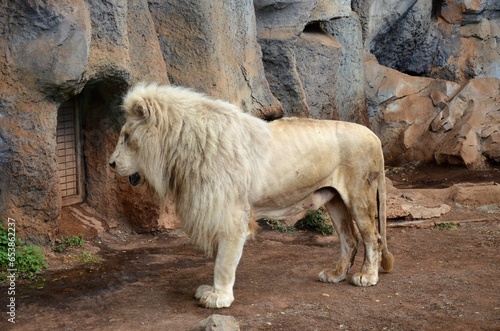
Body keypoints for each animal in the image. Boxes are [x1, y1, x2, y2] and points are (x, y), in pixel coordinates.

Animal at [109, 83, 394, 308]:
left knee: (372, 237)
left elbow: (224, 261)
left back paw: (367, 277)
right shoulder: (216, 211)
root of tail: (373, 136)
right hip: (334, 199)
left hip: (359, 195)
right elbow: (219, 257)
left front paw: (219, 297)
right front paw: (211, 291)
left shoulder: (231, 215)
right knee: (349, 239)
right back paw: (335, 274)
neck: (183, 149)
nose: (110, 164)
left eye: (126, 137)